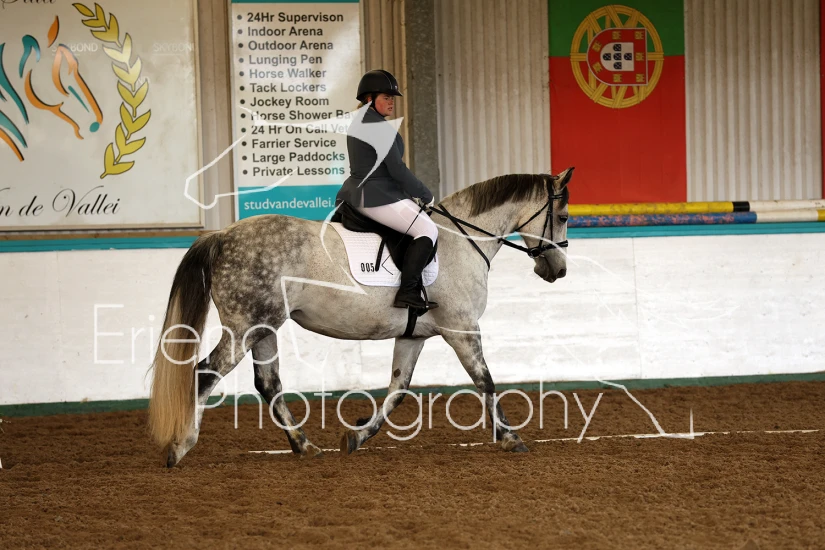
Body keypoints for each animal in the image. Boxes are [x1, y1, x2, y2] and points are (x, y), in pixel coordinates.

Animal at [148, 168, 574, 467]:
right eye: (564, 215)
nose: (558, 270)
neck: (462, 239)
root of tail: (222, 235)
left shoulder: (413, 335)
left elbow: (398, 391)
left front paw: (356, 437)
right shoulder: (462, 328)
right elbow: (486, 382)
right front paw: (511, 438)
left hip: (264, 327)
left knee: (268, 384)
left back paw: (305, 446)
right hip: (245, 328)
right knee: (206, 373)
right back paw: (180, 446)